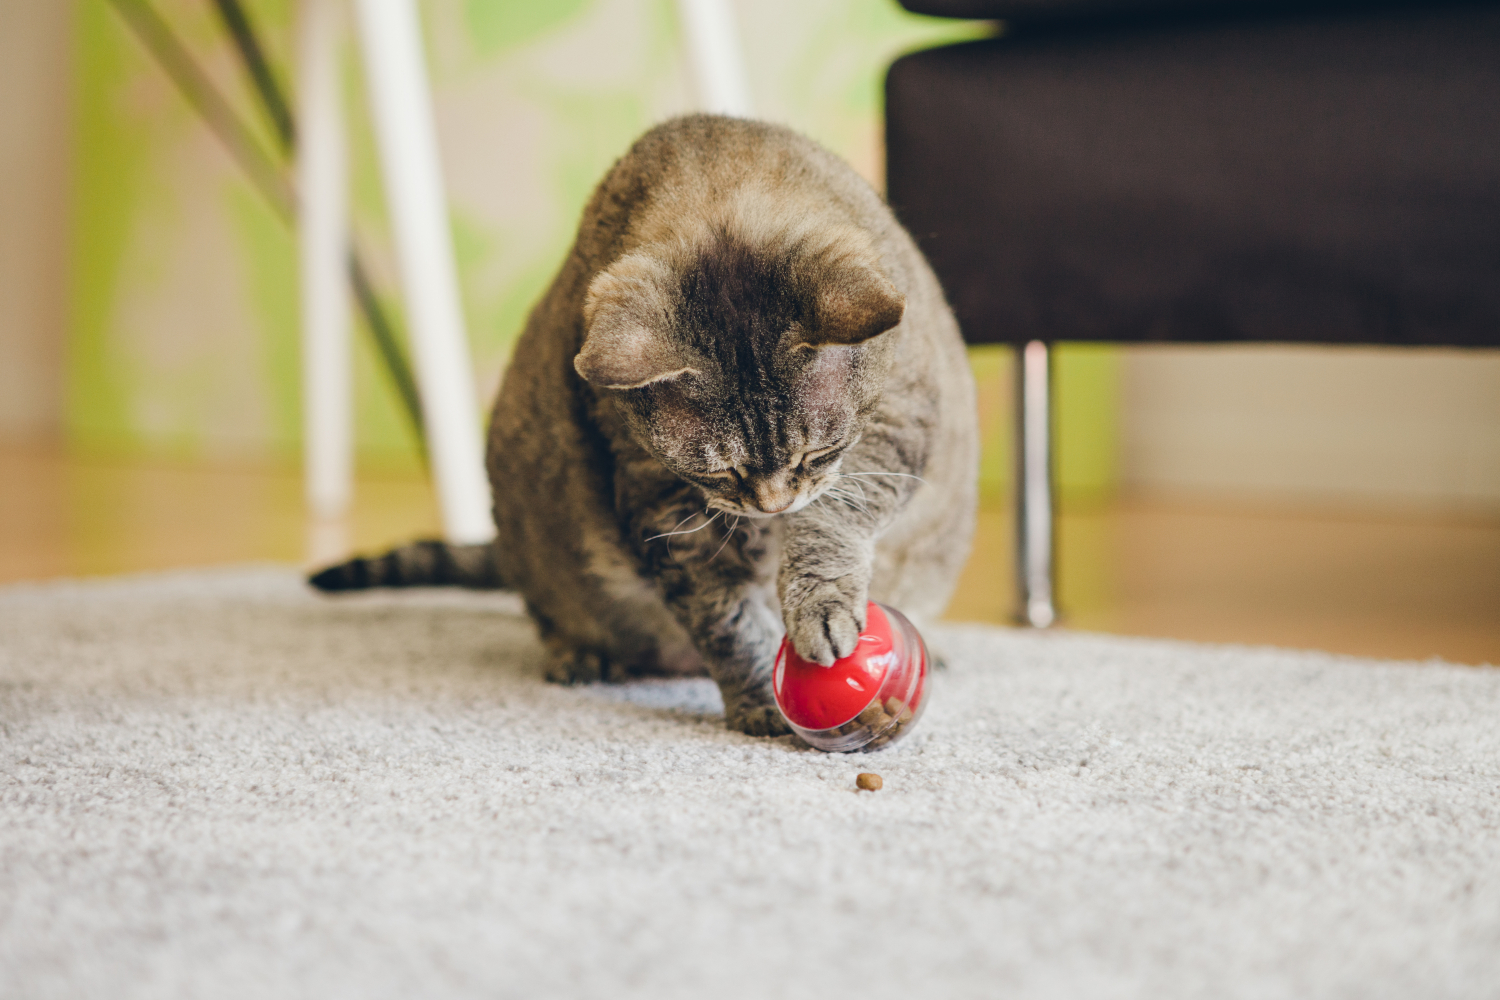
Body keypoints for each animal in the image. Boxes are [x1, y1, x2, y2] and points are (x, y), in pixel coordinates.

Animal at [310, 117, 978, 740]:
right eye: (721, 470)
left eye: (815, 454)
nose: (772, 504)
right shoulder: (665, 511)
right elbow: (727, 619)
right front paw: (763, 700)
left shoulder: (901, 420)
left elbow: (834, 519)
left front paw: (819, 605)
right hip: (534, 542)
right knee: (549, 612)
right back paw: (578, 654)